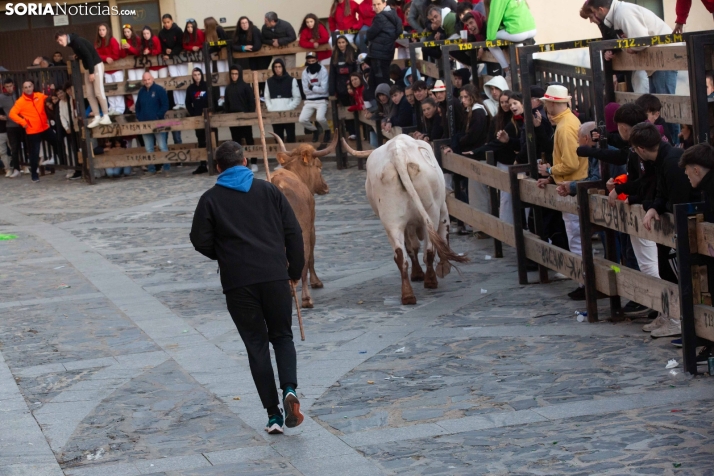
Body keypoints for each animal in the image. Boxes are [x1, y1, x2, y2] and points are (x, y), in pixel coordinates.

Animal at [268, 131, 336, 308]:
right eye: (319, 166)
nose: (325, 187)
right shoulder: (310, 227)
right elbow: (310, 256)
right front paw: (316, 282)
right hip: (300, 232)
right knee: (303, 261)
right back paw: (305, 298)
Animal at [340, 135, 468, 304]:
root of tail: (397, 153)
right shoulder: (443, 211)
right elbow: (442, 236)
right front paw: (443, 267)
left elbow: (411, 247)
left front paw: (417, 273)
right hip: (431, 213)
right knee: (429, 249)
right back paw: (430, 281)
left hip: (392, 222)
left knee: (401, 256)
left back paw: (408, 295)